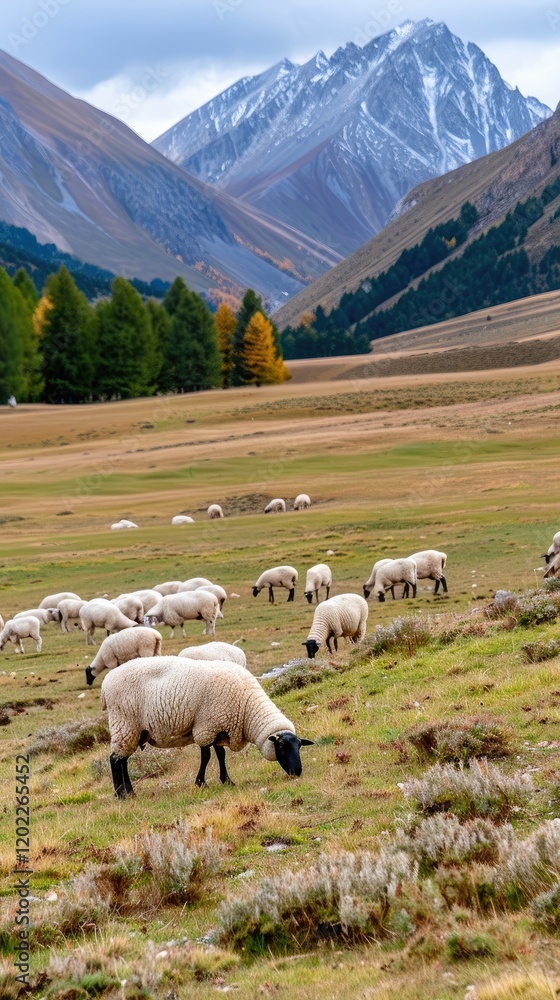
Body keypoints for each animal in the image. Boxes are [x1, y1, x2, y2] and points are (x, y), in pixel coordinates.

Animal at [101, 656, 313, 797]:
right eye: (282, 747)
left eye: (299, 746)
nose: (298, 772)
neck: (247, 707)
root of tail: (106, 682)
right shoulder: (206, 726)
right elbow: (206, 756)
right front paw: (201, 783)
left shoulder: (220, 727)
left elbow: (221, 755)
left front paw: (227, 781)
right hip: (124, 723)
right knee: (115, 759)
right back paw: (122, 794)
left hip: (131, 729)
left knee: (122, 759)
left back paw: (128, 792)